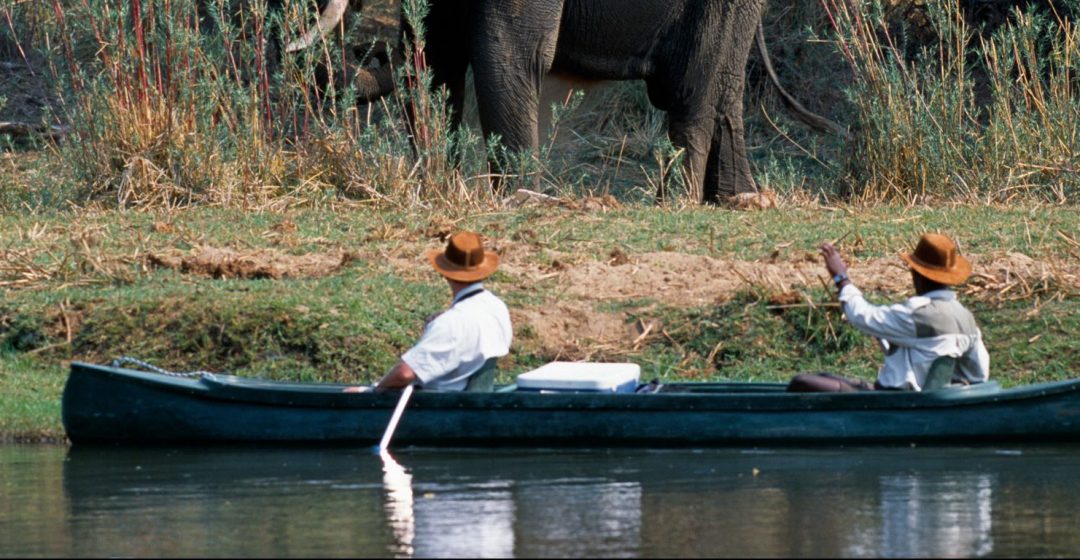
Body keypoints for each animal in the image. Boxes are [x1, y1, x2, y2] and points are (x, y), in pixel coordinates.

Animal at [300, 0, 838, 201]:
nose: (368, 50)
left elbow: (511, 49)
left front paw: (519, 201)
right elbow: (437, 51)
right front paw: (442, 189)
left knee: (692, 92)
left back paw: (677, 203)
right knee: (720, 91)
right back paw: (738, 200)